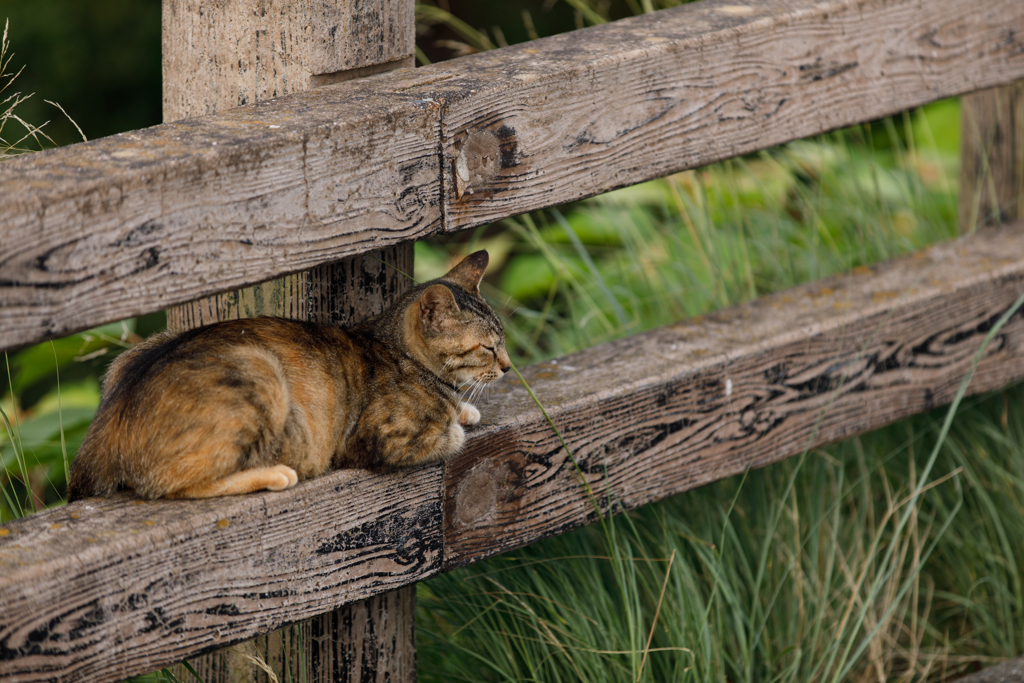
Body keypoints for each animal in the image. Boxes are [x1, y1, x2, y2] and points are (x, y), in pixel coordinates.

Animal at [67, 250, 507, 501]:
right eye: (488, 347)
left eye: (502, 339)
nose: (506, 366)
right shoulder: (382, 439)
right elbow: (452, 435)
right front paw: (459, 415)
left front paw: (465, 407)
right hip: (261, 372)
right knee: (172, 484)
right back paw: (273, 474)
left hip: (133, 354)